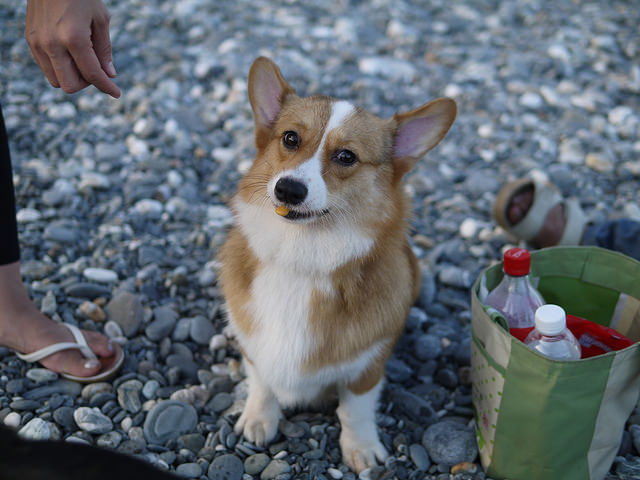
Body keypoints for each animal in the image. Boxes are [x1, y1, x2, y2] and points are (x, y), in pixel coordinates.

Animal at [220, 57, 456, 472]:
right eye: (290, 139)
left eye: (346, 156)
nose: (288, 189)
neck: (302, 258)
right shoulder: (254, 350)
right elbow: (262, 383)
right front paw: (259, 419)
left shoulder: (367, 366)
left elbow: (355, 410)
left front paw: (361, 448)